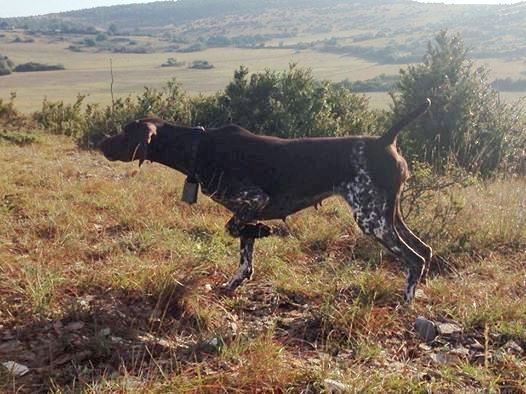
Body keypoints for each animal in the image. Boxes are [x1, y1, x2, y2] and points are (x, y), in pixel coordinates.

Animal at [99, 99, 434, 302]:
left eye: (125, 132)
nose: (101, 142)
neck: (199, 147)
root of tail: (384, 140)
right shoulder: (246, 208)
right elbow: (244, 252)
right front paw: (236, 279)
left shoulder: (253, 199)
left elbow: (234, 228)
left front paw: (263, 231)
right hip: (389, 215)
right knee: (424, 251)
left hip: (371, 219)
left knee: (414, 259)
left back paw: (405, 302)